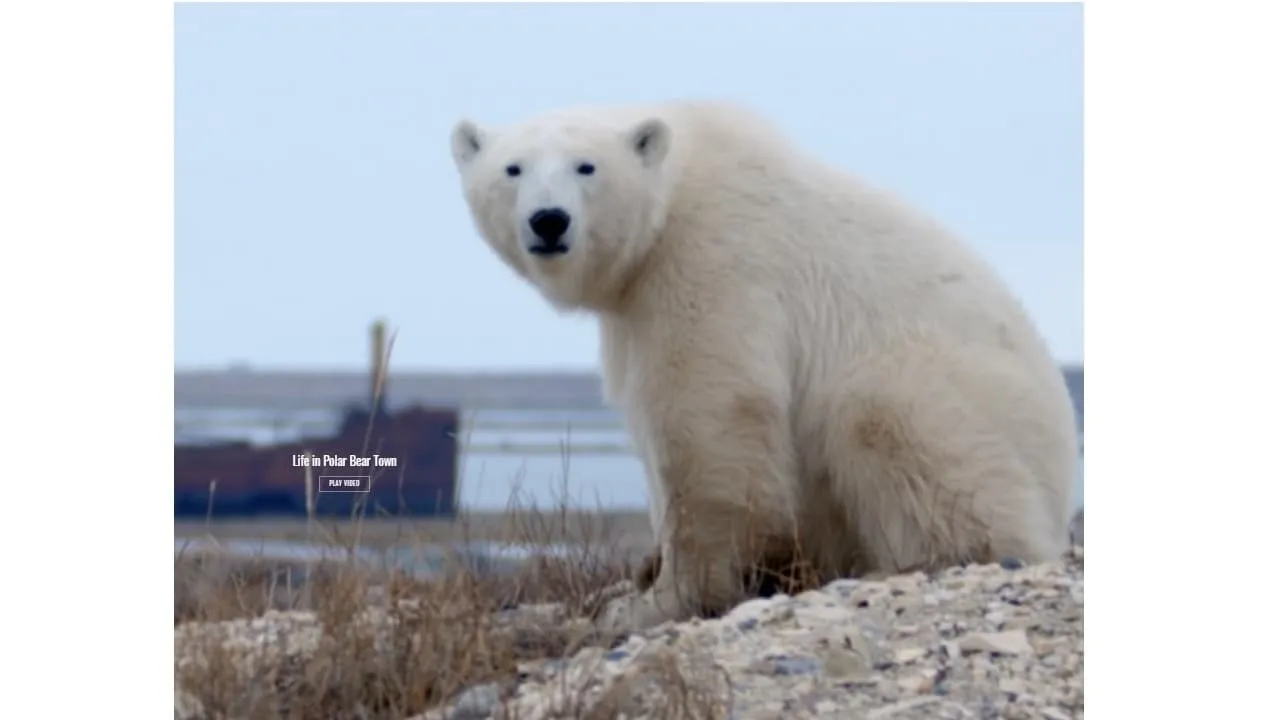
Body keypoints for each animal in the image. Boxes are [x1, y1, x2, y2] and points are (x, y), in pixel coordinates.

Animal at [450, 101, 1080, 632]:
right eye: (512, 168)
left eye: (587, 166)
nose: (548, 221)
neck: (676, 187)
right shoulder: (635, 309)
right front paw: (635, 578)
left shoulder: (712, 258)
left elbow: (709, 419)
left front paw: (662, 600)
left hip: (968, 398)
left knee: (887, 418)